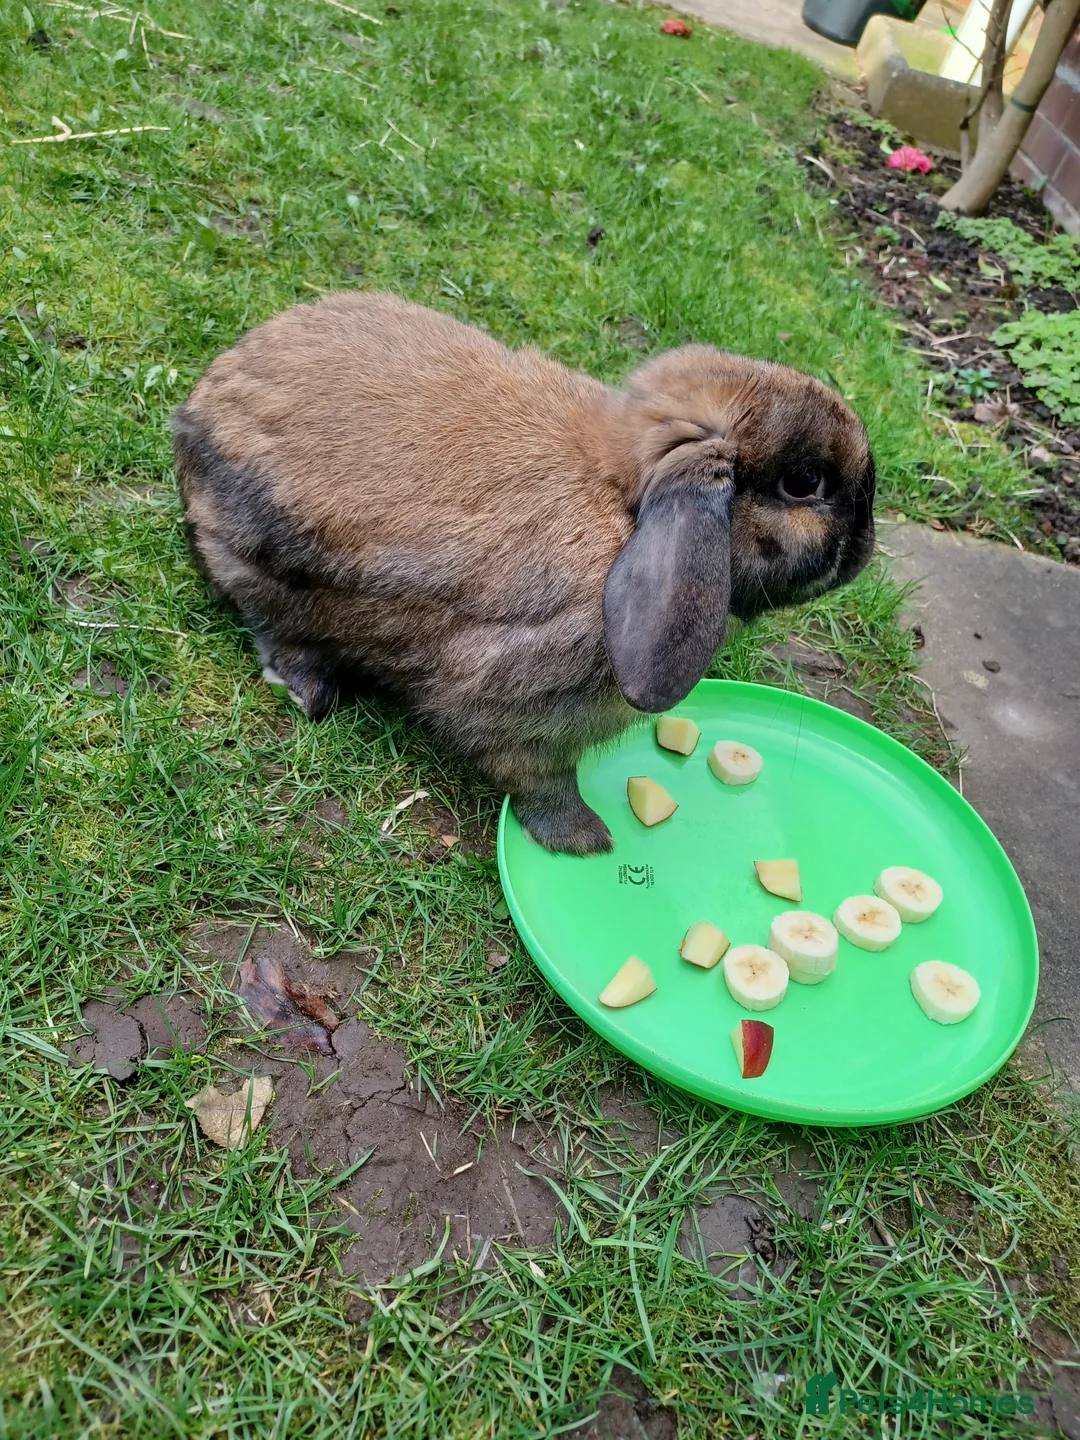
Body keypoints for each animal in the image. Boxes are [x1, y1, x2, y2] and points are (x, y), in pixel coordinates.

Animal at [174, 292, 875, 856]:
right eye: (804, 483)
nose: (866, 549)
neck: (622, 507)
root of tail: (194, 412)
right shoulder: (519, 707)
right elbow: (536, 775)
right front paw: (584, 840)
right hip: (264, 565)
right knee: (271, 622)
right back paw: (305, 687)